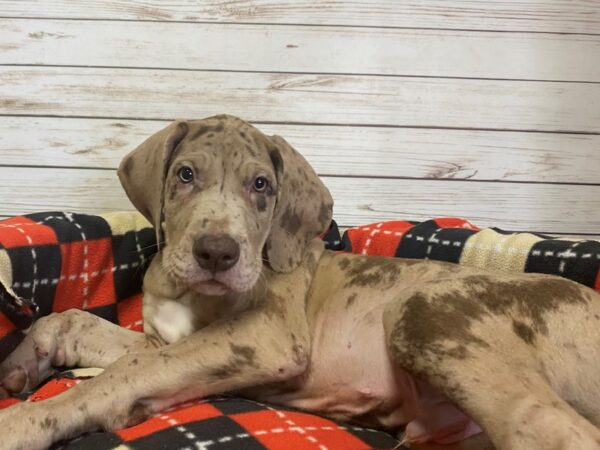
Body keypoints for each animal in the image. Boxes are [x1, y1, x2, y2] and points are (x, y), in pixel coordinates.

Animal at [1, 116, 600, 450]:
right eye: (185, 174)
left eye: (261, 185)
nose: (217, 252)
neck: (191, 294)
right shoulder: (161, 337)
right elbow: (76, 322)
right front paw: (23, 362)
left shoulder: (263, 337)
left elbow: (121, 374)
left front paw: (27, 421)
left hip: (426, 312)